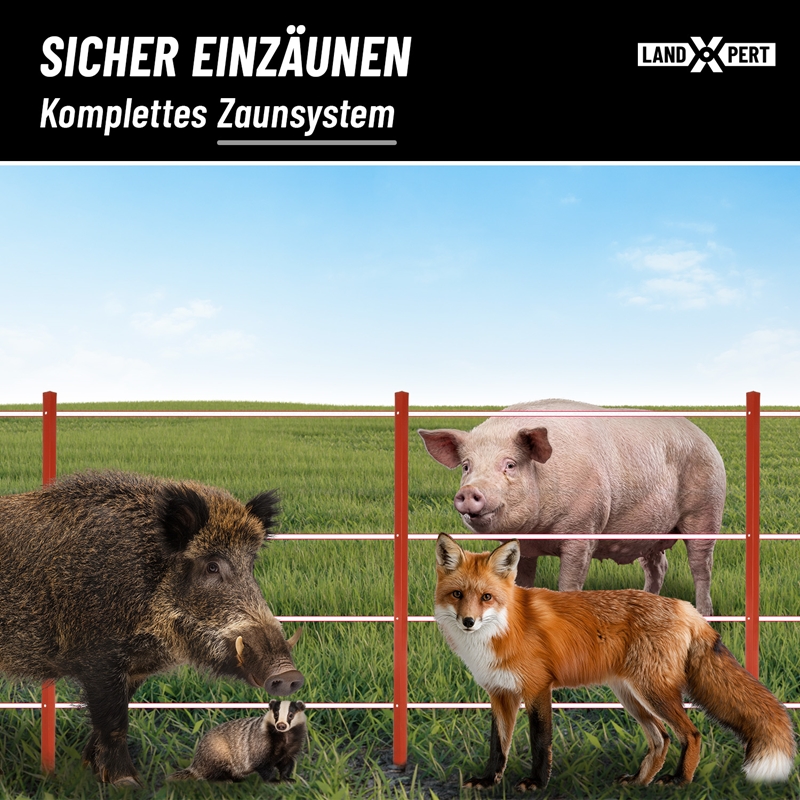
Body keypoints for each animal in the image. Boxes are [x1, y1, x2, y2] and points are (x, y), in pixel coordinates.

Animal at [0, 470, 304, 787]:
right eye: (212, 566)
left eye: (251, 566)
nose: (288, 675)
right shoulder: (99, 659)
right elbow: (114, 722)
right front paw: (127, 783)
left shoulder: (134, 669)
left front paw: (92, 770)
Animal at [419, 399, 726, 616]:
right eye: (466, 466)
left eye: (510, 465)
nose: (469, 491)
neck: (539, 531)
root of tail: (706, 438)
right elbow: (522, 582)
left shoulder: (583, 528)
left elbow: (569, 583)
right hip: (650, 532)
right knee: (658, 565)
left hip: (706, 509)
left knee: (701, 566)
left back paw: (705, 613)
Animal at [434, 533, 796, 791]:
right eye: (457, 595)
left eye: (487, 597)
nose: (468, 622)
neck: (504, 629)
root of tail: (686, 607)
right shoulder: (500, 693)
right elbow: (498, 746)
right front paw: (488, 781)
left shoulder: (537, 689)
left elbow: (540, 742)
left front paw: (536, 783)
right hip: (631, 696)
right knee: (661, 739)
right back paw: (639, 782)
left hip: (653, 693)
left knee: (690, 734)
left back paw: (679, 781)